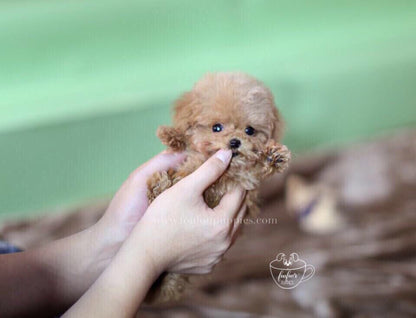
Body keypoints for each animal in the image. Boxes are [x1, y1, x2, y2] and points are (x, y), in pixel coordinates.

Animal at [146, 72, 292, 304]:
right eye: (216, 127)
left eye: (249, 130)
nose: (234, 142)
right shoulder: (193, 159)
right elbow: (187, 148)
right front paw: (172, 135)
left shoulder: (244, 181)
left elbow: (246, 171)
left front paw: (273, 157)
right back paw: (160, 185)